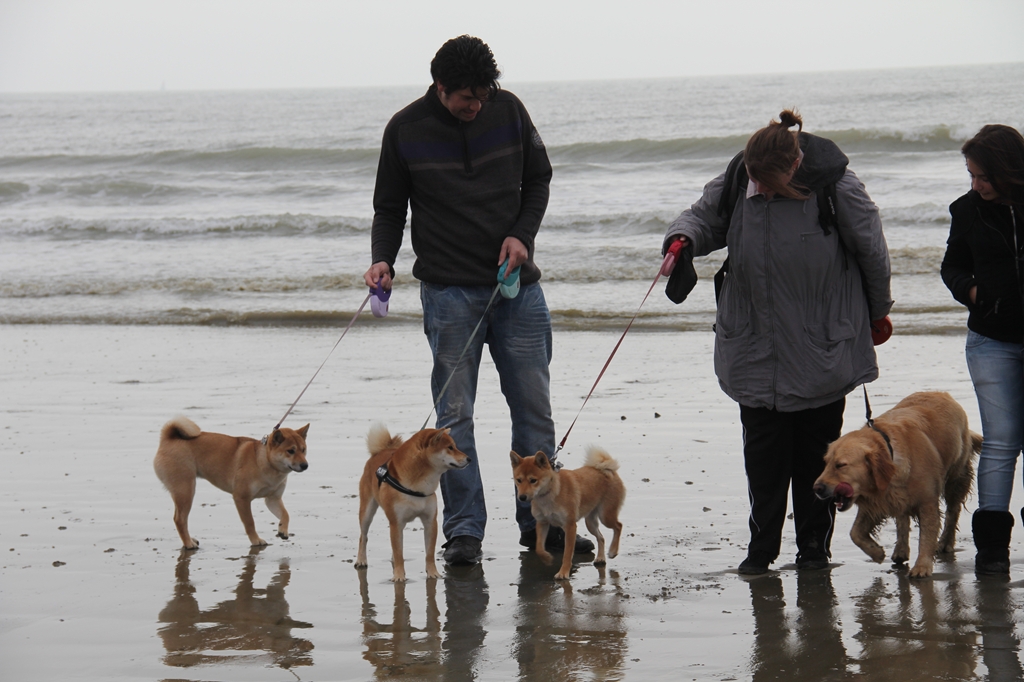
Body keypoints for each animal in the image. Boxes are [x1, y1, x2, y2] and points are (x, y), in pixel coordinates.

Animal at [149, 413, 305, 548]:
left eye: (303, 450)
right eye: (290, 451)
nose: (305, 465)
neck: (264, 461)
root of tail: (168, 439)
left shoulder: (273, 499)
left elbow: (285, 514)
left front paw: (283, 530)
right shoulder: (241, 498)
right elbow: (250, 523)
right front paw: (255, 540)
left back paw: (190, 540)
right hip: (186, 491)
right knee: (180, 520)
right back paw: (188, 544)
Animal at [354, 425, 468, 577]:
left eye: (455, 446)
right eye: (450, 447)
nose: (469, 458)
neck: (419, 485)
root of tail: (378, 453)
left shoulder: (430, 521)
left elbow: (429, 553)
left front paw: (433, 573)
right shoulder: (396, 522)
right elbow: (399, 552)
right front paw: (399, 576)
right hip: (367, 512)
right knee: (363, 537)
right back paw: (361, 560)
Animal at [509, 446, 622, 577]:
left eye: (533, 480)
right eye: (518, 480)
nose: (522, 497)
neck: (549, 493)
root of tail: (608, 470)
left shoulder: (570, 526)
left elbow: (567, 555)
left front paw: (563, 573)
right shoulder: (542, 523)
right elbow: (539, 548)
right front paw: (547, 558)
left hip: (605, 516)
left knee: (618, 526)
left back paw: (613, 550)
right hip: (590, 523)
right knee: (601, 538)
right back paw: (600, 558)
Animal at [811, 391, 978, 577]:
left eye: (840, 465)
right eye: (826, 463)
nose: (817, 488)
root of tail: (942, 393)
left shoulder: (927, 501)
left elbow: (927, 535)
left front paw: (922, 567)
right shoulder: (877, 500)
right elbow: (855, 532)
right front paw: (876, 552)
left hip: (956, 476)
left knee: (952, 511)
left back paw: (946, 542)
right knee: (902, 518)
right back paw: (900, 550)